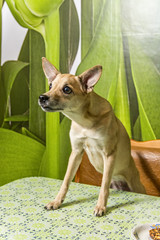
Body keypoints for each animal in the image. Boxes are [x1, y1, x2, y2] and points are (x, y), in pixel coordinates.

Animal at [38, 57, 146, 217]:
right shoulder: (76, 152)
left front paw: (101, 207)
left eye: (66, 89)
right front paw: (57, 202)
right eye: (50, 85)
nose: (42, 97)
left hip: (135, 184)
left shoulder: (109, 154)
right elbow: (65, 181)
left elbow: (103, 186)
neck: (84, 123)